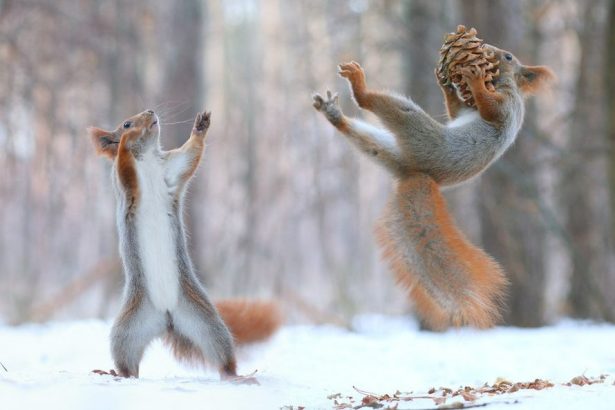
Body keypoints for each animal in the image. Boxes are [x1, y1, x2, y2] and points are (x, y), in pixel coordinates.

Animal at [89, 109, 282, 382]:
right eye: (126, 123)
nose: (150, 112)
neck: (147, 158)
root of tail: (167, 317)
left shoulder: (171, 169)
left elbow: (190, 156)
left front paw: (201, 126)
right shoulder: (124, 183)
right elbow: (124, 166)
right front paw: (126, 142)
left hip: (206, 322)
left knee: (221, 356)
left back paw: (237, 376)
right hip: (127, 330)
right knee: (128, 363)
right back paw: (116, 373)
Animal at [316, 45, 556, 330]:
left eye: (508, 57)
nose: (489, 50)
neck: (502, 83)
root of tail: (417, 174)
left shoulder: (507, 106)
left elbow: (490, 109)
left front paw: (474, 81)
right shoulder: (466, 111)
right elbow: (455, 112)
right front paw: (447, 85)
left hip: (418, 130)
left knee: (377, 105)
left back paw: (359, 86)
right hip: (387, 149)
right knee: (365, 139)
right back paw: (334, 115)